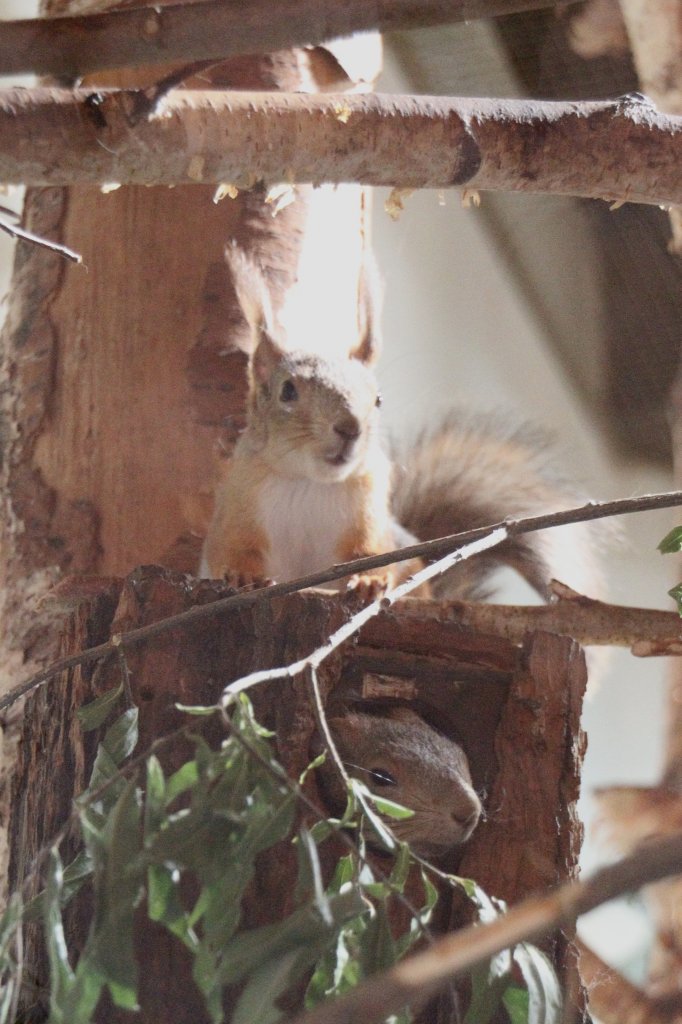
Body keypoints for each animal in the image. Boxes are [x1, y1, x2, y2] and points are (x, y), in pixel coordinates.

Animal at [199, 246, 598, 598]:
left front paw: (368, 581)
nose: (350, 429)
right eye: (288, 391)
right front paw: (244, 576)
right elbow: (232, 550)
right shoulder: (237, 508)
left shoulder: (370, 516)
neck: (309, 483)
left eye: (378, 399)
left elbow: (370, 555)